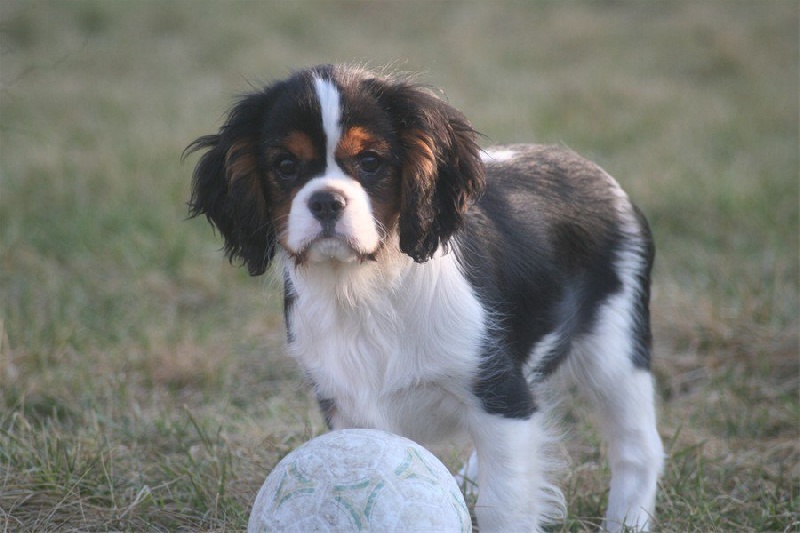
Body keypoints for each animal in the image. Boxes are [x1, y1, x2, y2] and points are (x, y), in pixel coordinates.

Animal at [186, 64, 664, 528]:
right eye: (285, 165)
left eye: (370, 161)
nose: (325, 201)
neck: (362, 286)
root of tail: (587, 167)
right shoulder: (347, 404)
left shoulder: (500, 396)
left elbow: (504, 505)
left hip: (615, 347)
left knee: (637, 448)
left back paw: (627, 520)